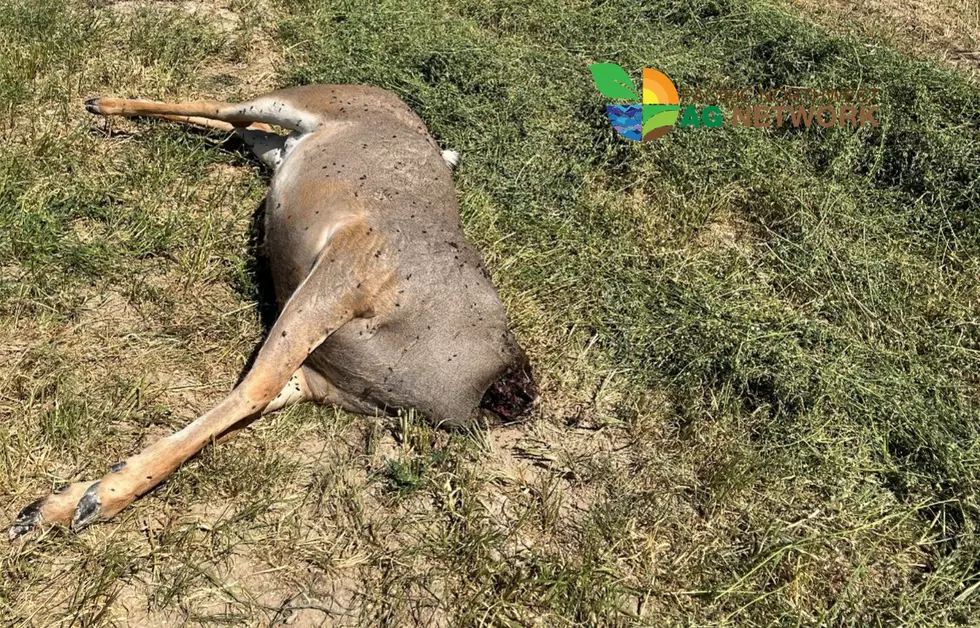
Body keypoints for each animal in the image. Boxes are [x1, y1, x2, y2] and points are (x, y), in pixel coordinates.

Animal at [9, 85, 538, 539]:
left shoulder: (315, 380)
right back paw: (101, 104)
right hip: (298, 100)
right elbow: (253, 389)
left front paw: (62, 504)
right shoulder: (350, 265)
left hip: (275, 147)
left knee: (242, 128)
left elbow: (248, 404)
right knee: (224, 105)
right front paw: (93, 497)